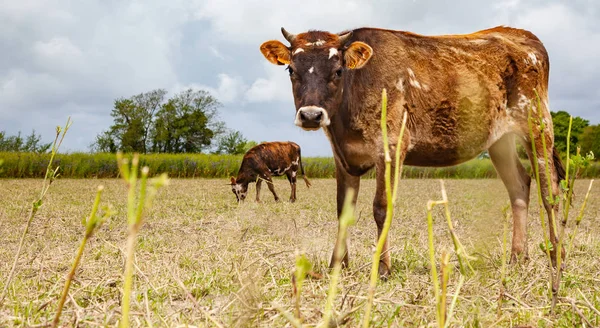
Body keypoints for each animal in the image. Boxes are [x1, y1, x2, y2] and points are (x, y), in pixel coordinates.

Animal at [260, 26, 564, 276]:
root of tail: (521, 35)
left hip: (538, 125)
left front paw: (383, 268)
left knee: (549, 190)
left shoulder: (392, 145)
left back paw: (556, 258)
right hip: (500, 141)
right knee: (519, 186)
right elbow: (342, 210)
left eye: (338, 71)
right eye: (291, 70)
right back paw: (517, 258)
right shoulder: (343, 157)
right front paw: (337, 266)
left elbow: (382, 208)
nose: (311, 115)